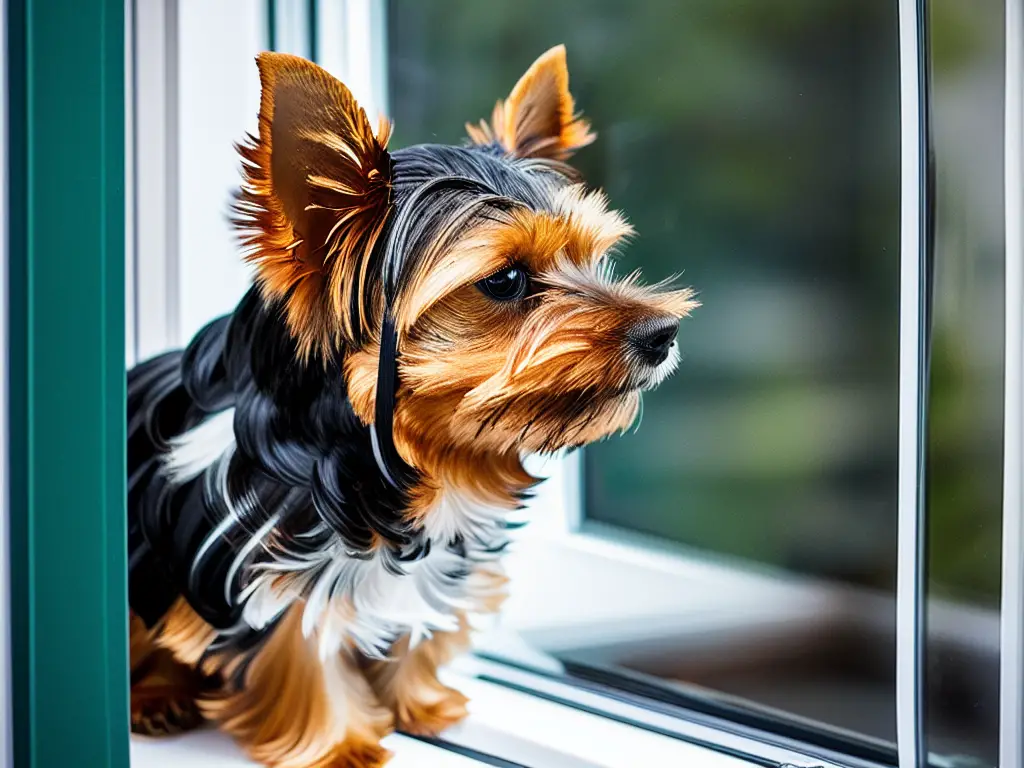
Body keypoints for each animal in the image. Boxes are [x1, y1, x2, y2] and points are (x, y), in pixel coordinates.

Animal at [128, 48, 700, 768]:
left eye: (593, 258)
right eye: (505, 280)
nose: (663, 334)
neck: (404, 452)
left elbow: (416, 619)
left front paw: (419, 703)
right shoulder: (264, 559)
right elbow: (302, 644)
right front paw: (339, 742)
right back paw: (154, 697)